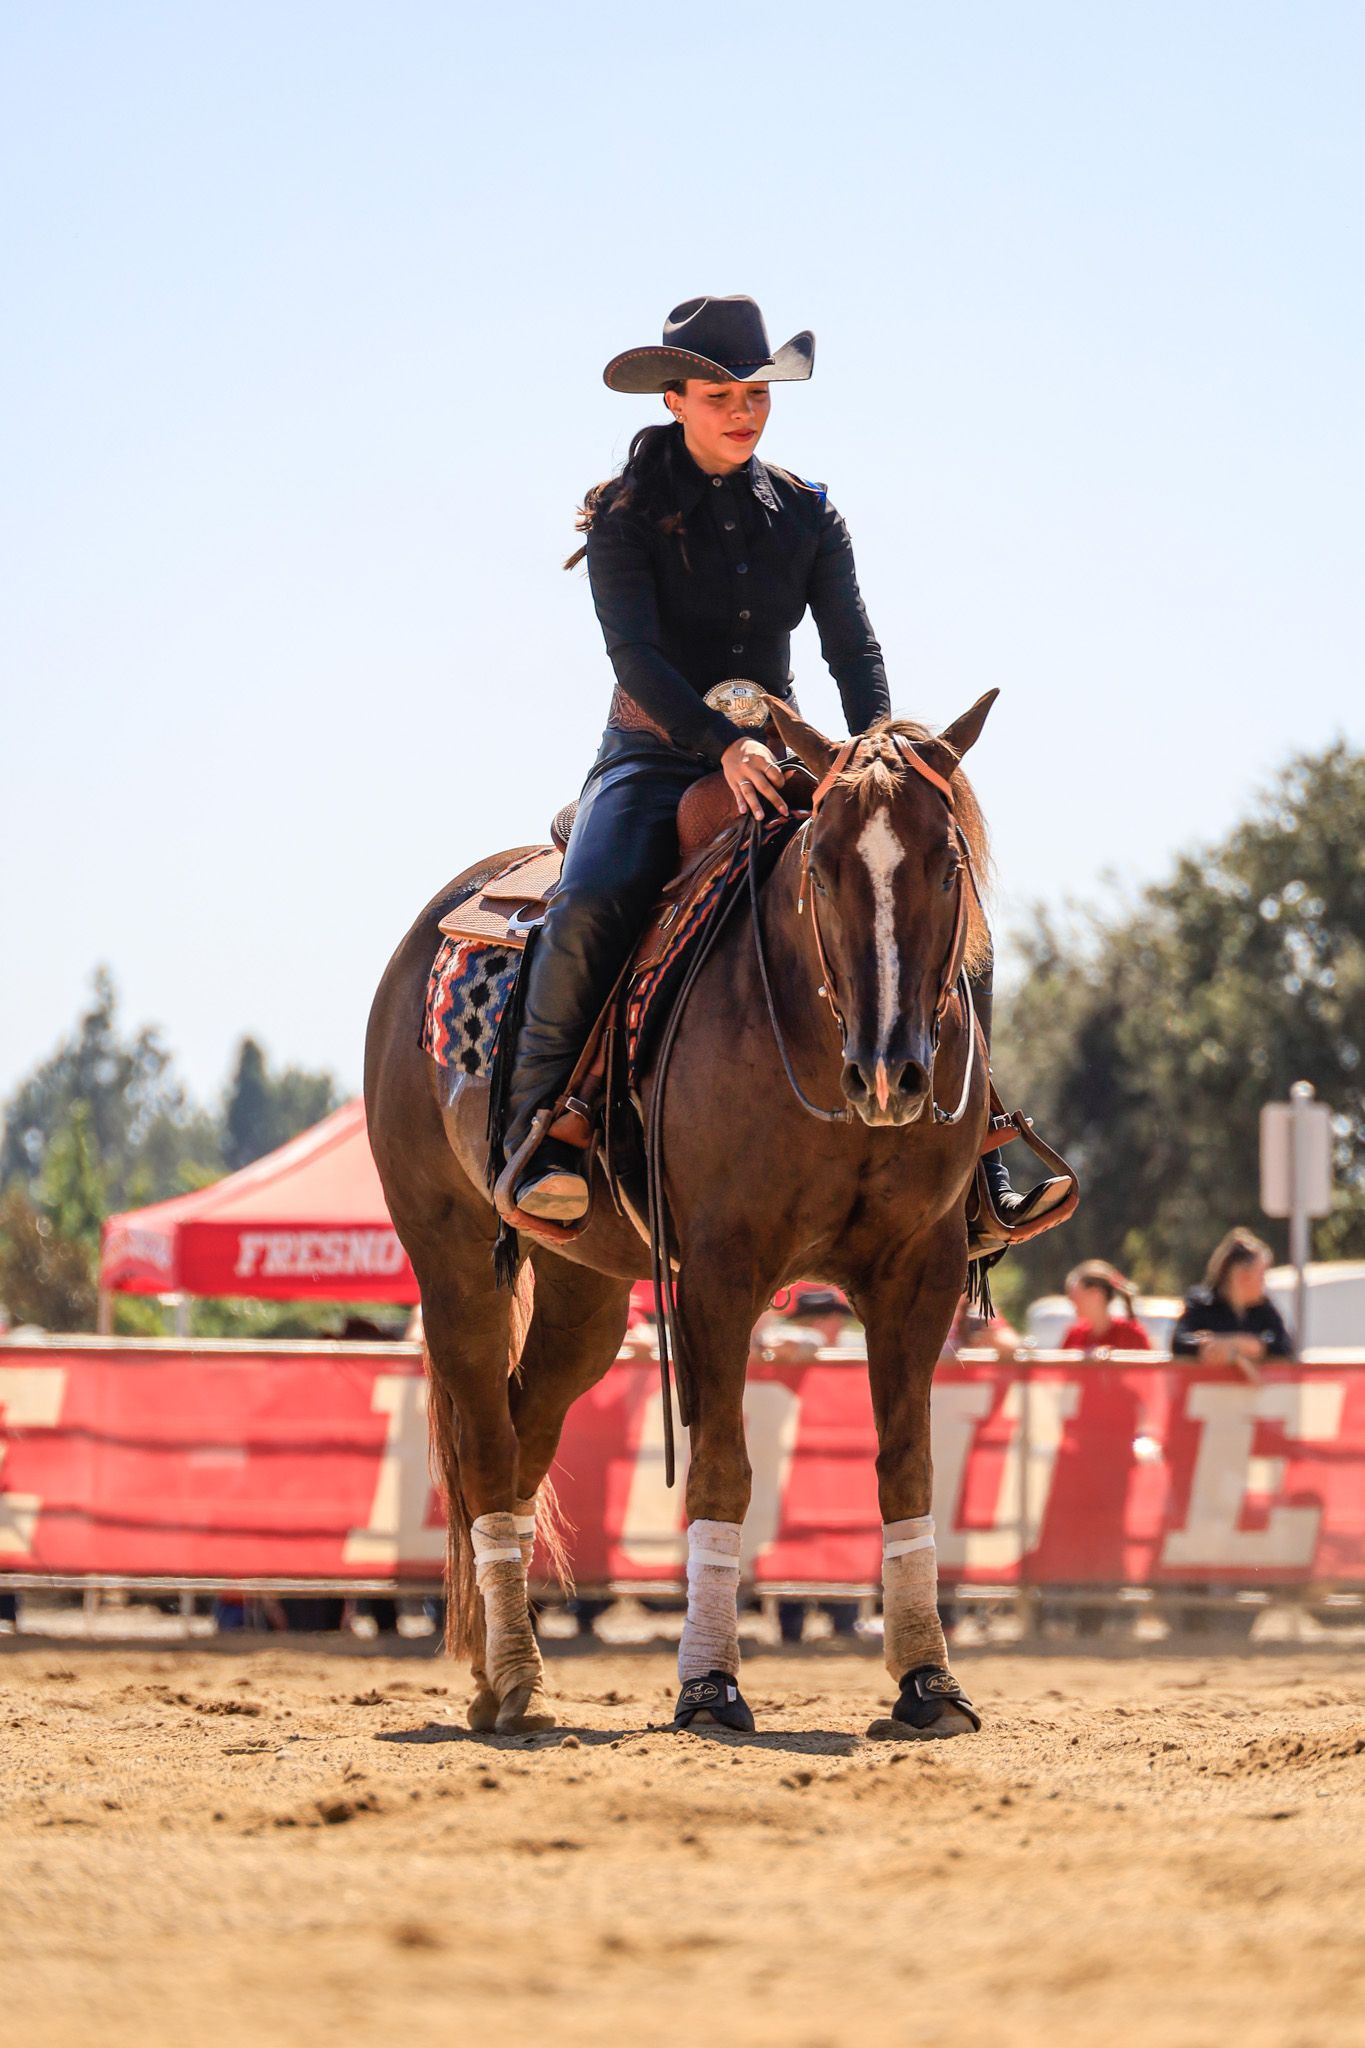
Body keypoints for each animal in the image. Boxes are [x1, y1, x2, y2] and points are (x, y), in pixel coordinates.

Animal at [364, 690, 998, 1738]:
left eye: (944, 866)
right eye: (819, 869)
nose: (888, 1073)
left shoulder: (919, 1271)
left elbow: (906, 1468)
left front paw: (928, 1681)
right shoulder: (718, 1274)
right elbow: (723, 1475)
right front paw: (708, 1684)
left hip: (580, 1290)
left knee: (526, 1428)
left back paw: (500, 1673)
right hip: (449, 1260)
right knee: (488, 1451)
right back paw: (518, 1679)